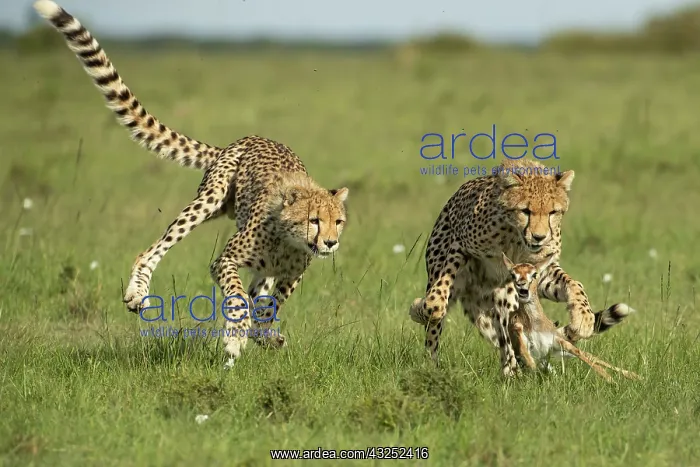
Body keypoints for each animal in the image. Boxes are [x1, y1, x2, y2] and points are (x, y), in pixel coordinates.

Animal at [33, 0, 350, 367]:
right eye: (314, 220)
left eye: (338, 221)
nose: (330, 243)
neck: (288, 241)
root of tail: (243, 140)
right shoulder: (225, 261)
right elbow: (238, 298)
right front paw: (236, 340)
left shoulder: (287, 276)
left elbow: (265, 308)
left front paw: (264, 336)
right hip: (208, 201)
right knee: (154, 248)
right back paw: (137, 291)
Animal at [408, 157, 598, 377]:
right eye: (525, 211)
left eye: (552, 212)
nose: (539, 237)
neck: (515, 236)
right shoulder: (460, 245)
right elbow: (440, 291)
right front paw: (427, 306)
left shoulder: (539, 273)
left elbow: (575, 284)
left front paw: (584, 320)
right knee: (435, 333)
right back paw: (433, 365)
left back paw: (513, 369)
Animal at [503, 253, 642, 382]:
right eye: (512, 275)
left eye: (534, 274)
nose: (521, 284)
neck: (534, 324)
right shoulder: (531, 350)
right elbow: (523, 347)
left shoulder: (557, 342)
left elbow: (583, 355)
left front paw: (611, 380)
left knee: (591, 356)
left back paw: (635, 376)